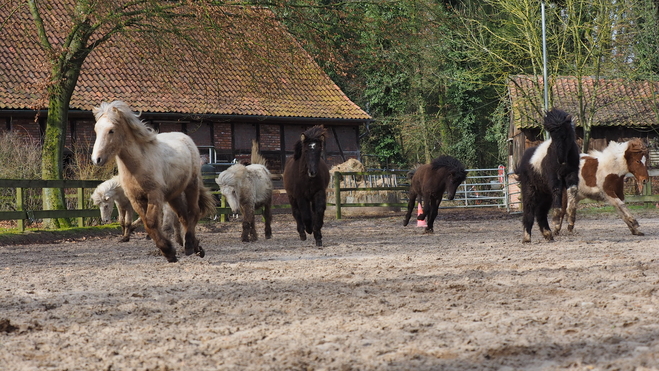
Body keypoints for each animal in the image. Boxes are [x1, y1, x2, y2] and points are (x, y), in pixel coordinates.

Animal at [91, 100, 215, 264]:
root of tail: (186, 138)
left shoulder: (154, 195)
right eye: (96, 130)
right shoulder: (136, 200)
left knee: (193, 212)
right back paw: (196, 247)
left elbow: (151, 223)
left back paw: (189, 245)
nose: (96, 159)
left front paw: (169, 251)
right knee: (183, 217)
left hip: (191, 186)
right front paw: (169, 252)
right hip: (174, 195)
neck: (138, 165)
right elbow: (147, 224)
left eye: (111, 130)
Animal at [516, 107, 576, 244]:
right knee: (529, 212)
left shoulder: (572, 176)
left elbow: (572, 195)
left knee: (540, 213)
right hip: (530, 191)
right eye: (552, 137)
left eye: (564, 135)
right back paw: (527, 238)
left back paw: (548, 234)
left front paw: (570, 223)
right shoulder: (554, 178)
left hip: (545, 194)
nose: (560, 160)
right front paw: (556, 223)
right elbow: (558, 196)